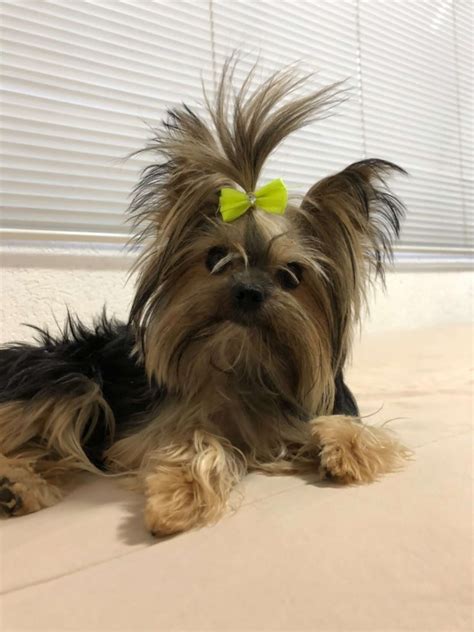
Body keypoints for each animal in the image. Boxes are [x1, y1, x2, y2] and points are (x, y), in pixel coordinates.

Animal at [0, 61, 412, 536]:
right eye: (216, 257)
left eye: (291, 275)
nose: (248, 290)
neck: (245, 361)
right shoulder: (141, 436)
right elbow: (200, 440)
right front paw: (178, 499)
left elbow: (364, 434)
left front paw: (345, 450)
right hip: (67, 377)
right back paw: (16, 482)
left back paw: (21, 489)